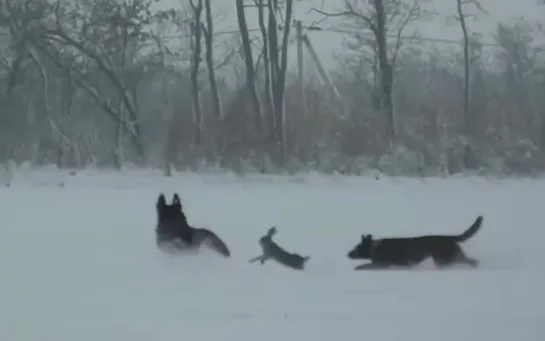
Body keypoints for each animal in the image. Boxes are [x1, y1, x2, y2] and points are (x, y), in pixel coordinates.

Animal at [346, 215, 482, 268]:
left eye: (357, 247)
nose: (348, 253)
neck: (374, 248)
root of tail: (449, 237)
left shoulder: (384, 264)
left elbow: (364, 266)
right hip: (453, 257)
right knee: (471, 260)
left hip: (443, 260)